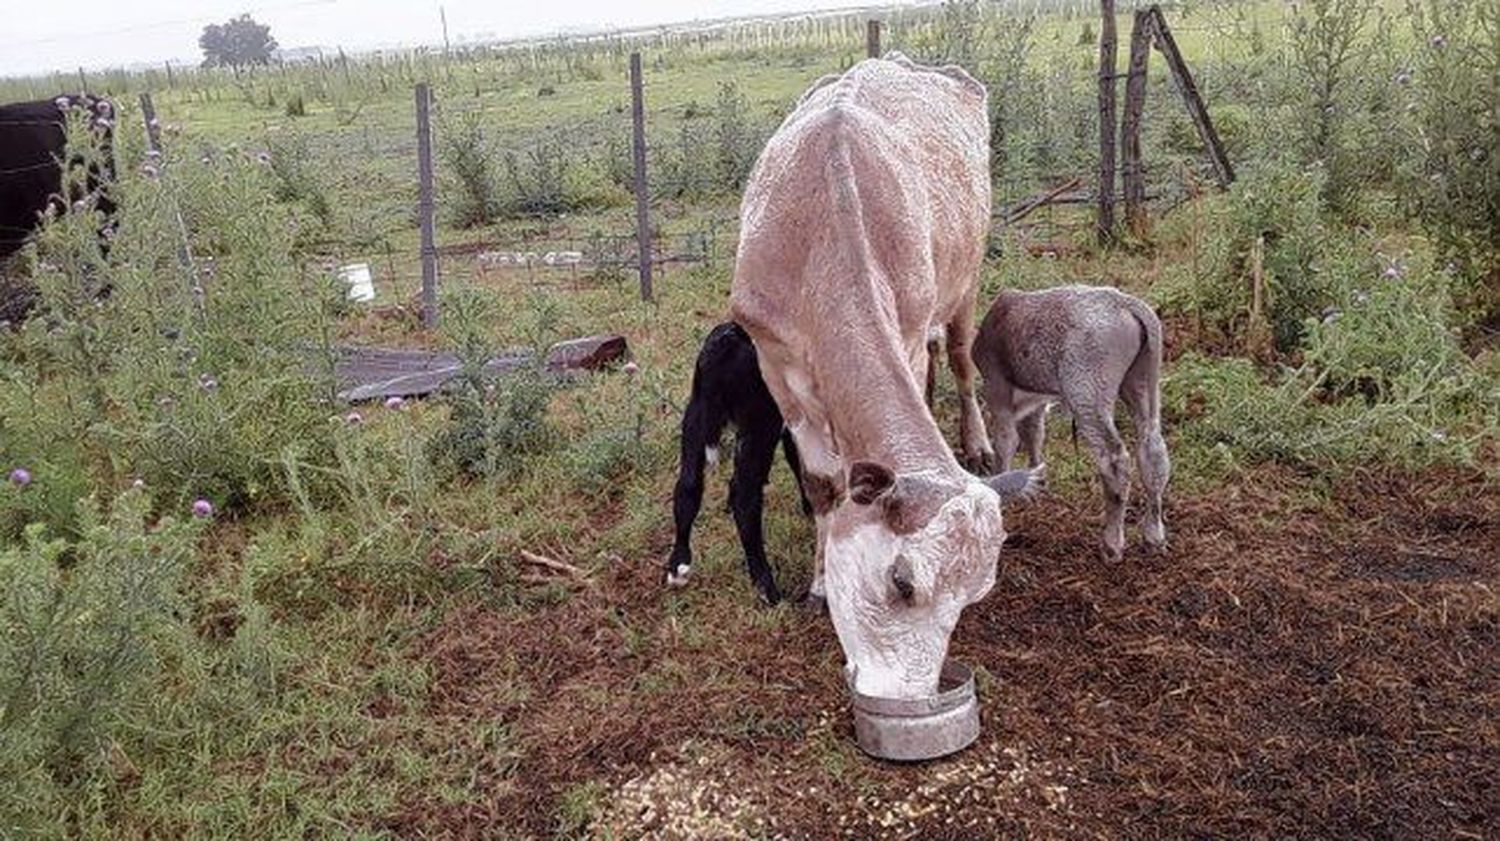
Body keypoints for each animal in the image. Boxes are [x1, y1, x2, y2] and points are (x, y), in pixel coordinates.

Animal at [972, 284, 1170, 560]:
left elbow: (1006, 441)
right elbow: (1034, 433)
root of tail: (1125, 303)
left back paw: (1112, 544)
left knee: (1115, 459)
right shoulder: (1036, 399)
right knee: (1153, 450)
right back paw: (1154, 536)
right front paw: (1037, 482)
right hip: (1142, 381)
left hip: (1088, 391)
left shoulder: (996, 383)